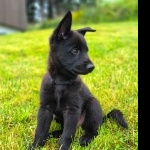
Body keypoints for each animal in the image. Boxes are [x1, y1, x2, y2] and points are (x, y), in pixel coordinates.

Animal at [29, 10, 127, 150]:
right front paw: (36, 145)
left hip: (92, 105)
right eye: (75, 50)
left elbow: (68, 134)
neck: (61, 82)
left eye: (86, 51)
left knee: (94, 130)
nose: (92, 67)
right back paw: (53, 134)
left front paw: (63, 147)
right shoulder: (45, 108)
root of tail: (102, 118)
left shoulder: (72, 110)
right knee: (64, 129)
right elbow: (41, 130)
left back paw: (86, 138)